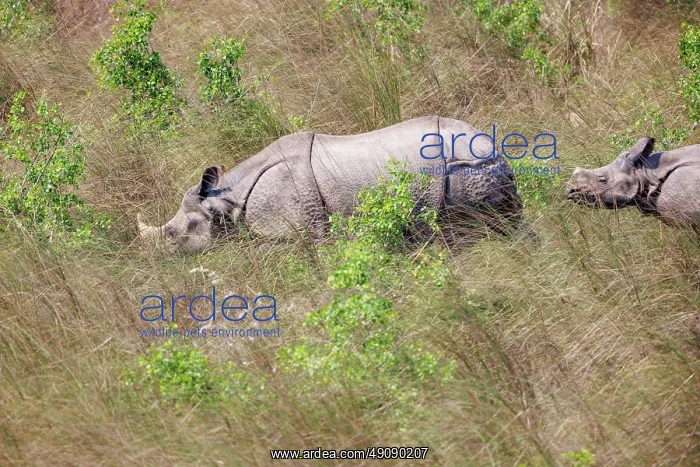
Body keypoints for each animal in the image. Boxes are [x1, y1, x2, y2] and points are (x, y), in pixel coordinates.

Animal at [138, 116, 523, 253]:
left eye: (174, 234)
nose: (158, 255)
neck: (225, 200)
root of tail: (492, 149)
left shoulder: (302, 224)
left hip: (461, 171)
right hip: (472, 168)